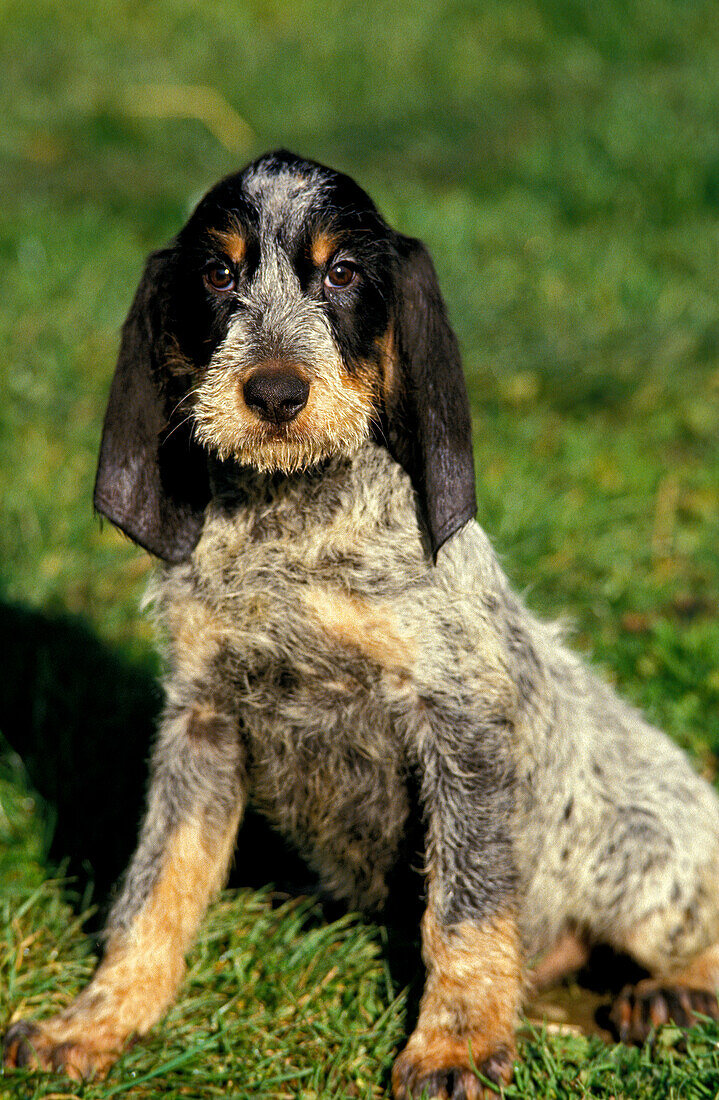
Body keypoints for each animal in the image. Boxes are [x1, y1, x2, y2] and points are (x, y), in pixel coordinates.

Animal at [5, 150, 719, 1095]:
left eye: (342, 274)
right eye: (218, 275)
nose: (274, 393)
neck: (289, 520)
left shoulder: (460, 725)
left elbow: (465, 908)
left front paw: (456, 1042)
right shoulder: (202, 724)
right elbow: (155, 889)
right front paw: (100, 1019)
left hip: (636, 853)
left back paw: (673, 992)